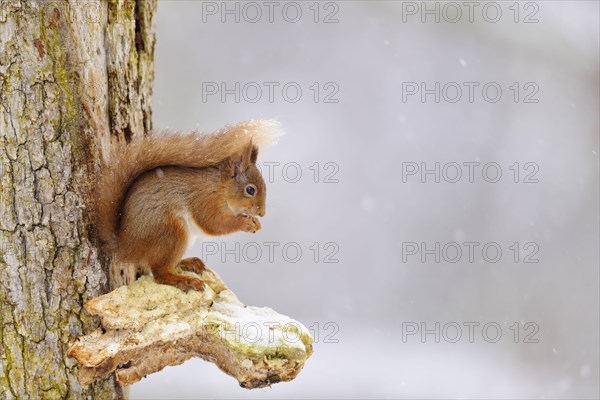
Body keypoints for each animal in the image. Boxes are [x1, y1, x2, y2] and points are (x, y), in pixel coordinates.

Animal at [95, 120, 280, 292]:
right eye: (250, 190)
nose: (262, 213)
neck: (220, 186)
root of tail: (126, 246)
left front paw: (255, 222)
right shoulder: (205, 199)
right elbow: (214, 224)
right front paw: (245, 223)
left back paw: (188, 262)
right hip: (171, 232)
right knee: (160, 272)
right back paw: (183, 280)